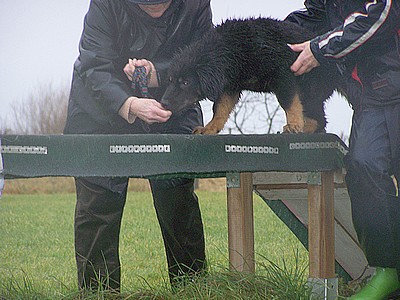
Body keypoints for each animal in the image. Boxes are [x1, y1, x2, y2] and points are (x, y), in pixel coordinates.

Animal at [161, 16, 342, 134]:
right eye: (170, 80)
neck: (233, 49)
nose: (163, 103)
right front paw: (210, 128)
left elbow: (288, 102)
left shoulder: (283, 75)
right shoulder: (230, 85)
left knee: (318, 119)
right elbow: (220, 108)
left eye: (185, 82)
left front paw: (294, 125)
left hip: (310, 87)